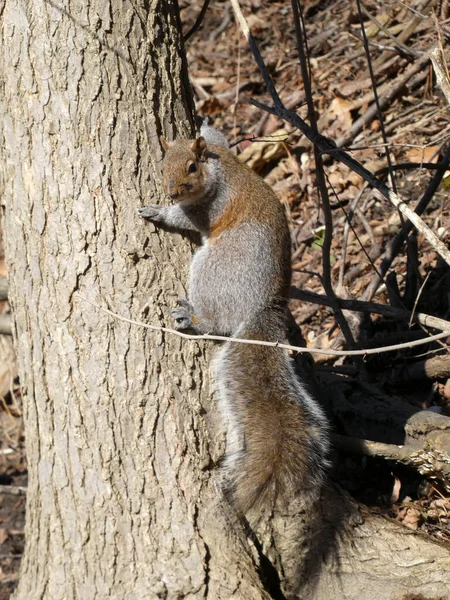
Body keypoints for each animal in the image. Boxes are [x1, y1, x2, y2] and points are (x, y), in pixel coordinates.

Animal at [139, 122, 328, 516]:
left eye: (192, 167)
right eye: (162, 163)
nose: (171, 192)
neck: (220, 167)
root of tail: (263, 308)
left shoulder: (211, 206)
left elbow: (187, 218)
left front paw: (159, 212)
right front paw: (204, 122)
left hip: (216, 268)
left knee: (217, 321)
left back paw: (194, 319)